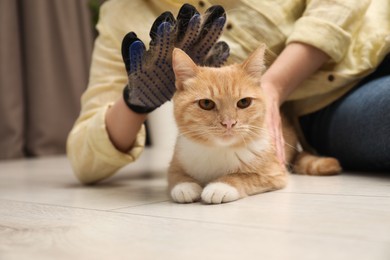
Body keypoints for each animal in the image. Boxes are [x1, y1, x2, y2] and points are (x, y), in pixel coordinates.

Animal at [168, 45, 342, 204]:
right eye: (206, 103)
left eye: (244, 102)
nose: (229, 123)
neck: (220, 150)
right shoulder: (176, 161)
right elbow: (176, 175)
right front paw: (185, 185)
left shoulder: (275, 173)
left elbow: (243, 176)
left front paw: (221, 186)